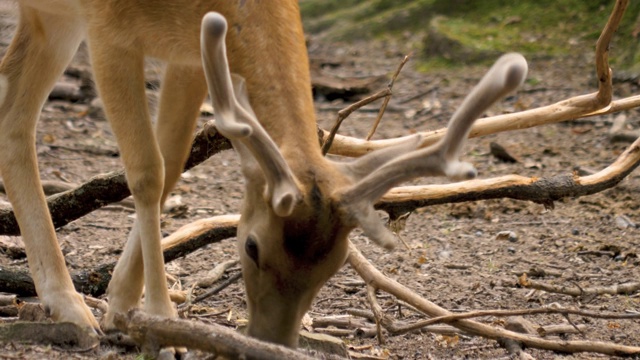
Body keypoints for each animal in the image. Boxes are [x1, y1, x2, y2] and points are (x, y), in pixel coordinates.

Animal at [0, 0, 528, 348]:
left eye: (338, 262)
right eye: (251, 246)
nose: (271, 343)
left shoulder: (191, 54)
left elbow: (172, 167)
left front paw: (123, 309)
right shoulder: (108, 30)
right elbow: (148, 172)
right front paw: (162, 321)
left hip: (50, 20)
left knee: (13, 118)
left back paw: (64, 303)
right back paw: (70, 305)